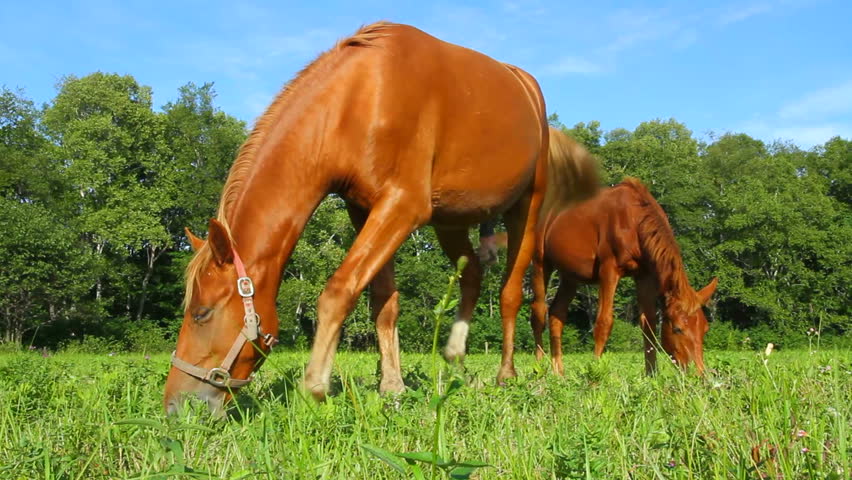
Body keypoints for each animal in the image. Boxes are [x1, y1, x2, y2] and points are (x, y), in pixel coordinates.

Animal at [163, 22, 599, 413]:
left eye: (201, 313)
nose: (175, 406)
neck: (358, 99)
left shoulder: (402, 207)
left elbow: (338, 290)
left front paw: (315, 386)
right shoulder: (365, 209)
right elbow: (383, 302)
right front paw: (392, 386)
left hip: (525, 210)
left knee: (510, 294)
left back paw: (506, 375)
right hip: (451, 220)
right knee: (472, 273)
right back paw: (455, 358)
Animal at [530, 177, 718, 376]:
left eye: (705, 328)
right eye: (678, 329)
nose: (700, 374)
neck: (634, 222)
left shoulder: (644, 277)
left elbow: (649, 325)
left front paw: (651, 374)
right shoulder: (609, 271)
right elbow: (604, 323)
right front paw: (595, 370)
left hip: (570, 276)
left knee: (556, 314)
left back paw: (559, 372)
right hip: (541, 264)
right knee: (538, 314)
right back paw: (539, 366)